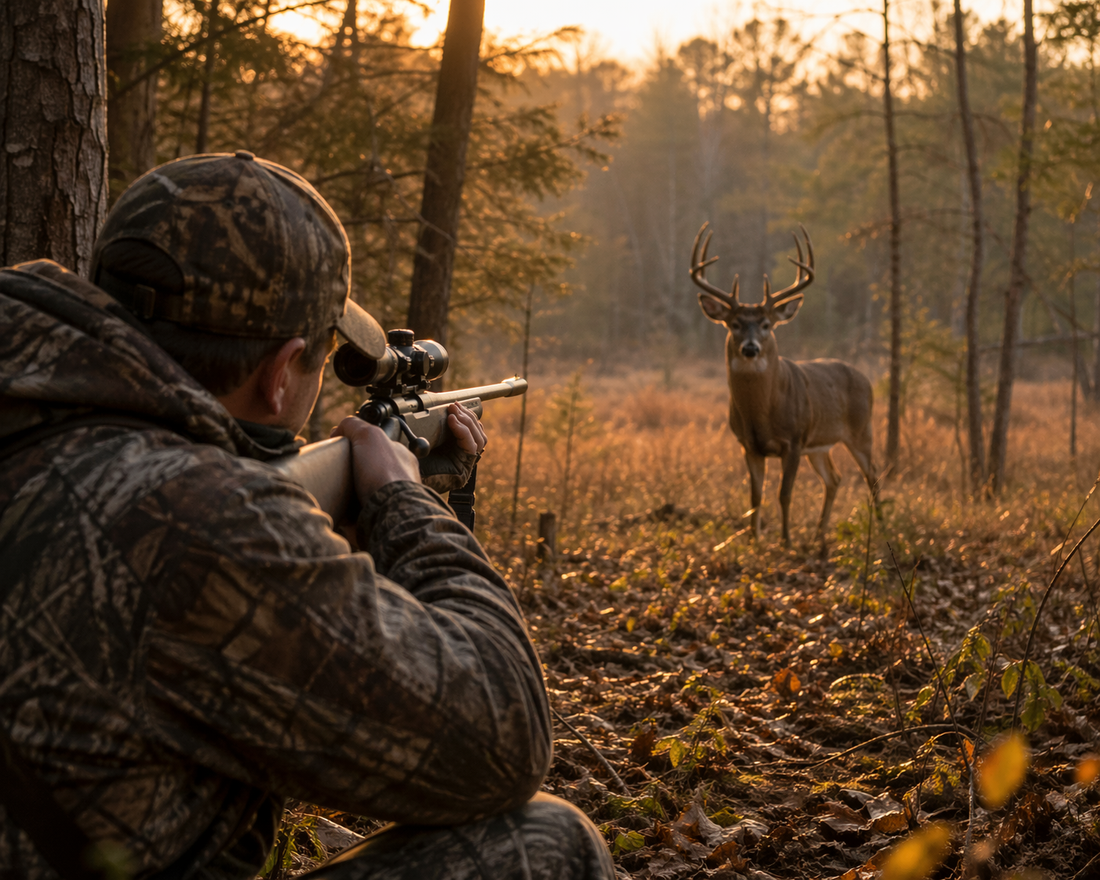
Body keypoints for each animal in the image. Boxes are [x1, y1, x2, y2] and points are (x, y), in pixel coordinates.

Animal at [690, 222, 878, 546]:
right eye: (734, 324)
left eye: (767, 324)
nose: (750, 348)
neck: (763, 413)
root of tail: (867, 379)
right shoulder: (748, 445)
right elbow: (755, 497)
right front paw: (754, 541)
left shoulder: (794, 440)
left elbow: (784, 494)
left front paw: (786, 541)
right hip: (819, 446)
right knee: (834, 478)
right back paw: (818, 536)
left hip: (860, 431)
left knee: (874, 476)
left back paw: (883, 528)